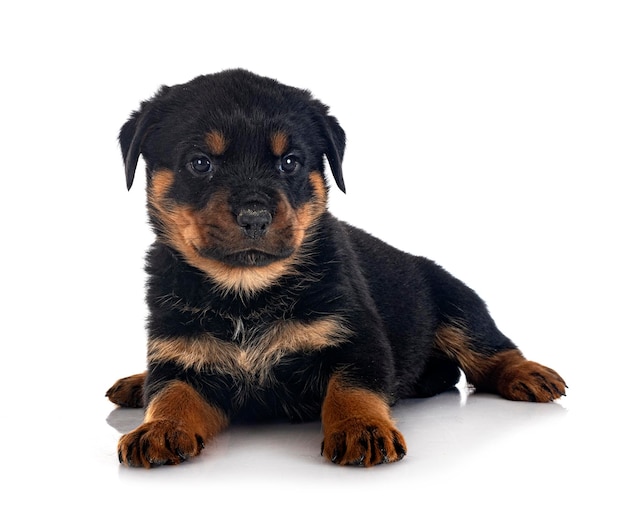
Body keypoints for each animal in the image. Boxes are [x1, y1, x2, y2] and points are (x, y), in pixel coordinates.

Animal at [105, 70, 564, 470]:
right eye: (200, 163)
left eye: (290, 162)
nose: (255, 217)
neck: (247, 293)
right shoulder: (181, 356)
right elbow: (170, 393)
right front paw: (158, 429)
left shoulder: (358, 340)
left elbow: (351, 388)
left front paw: (363, 428)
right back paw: (136, 383)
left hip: (455, 300)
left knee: (488, 348)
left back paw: (529, 373)